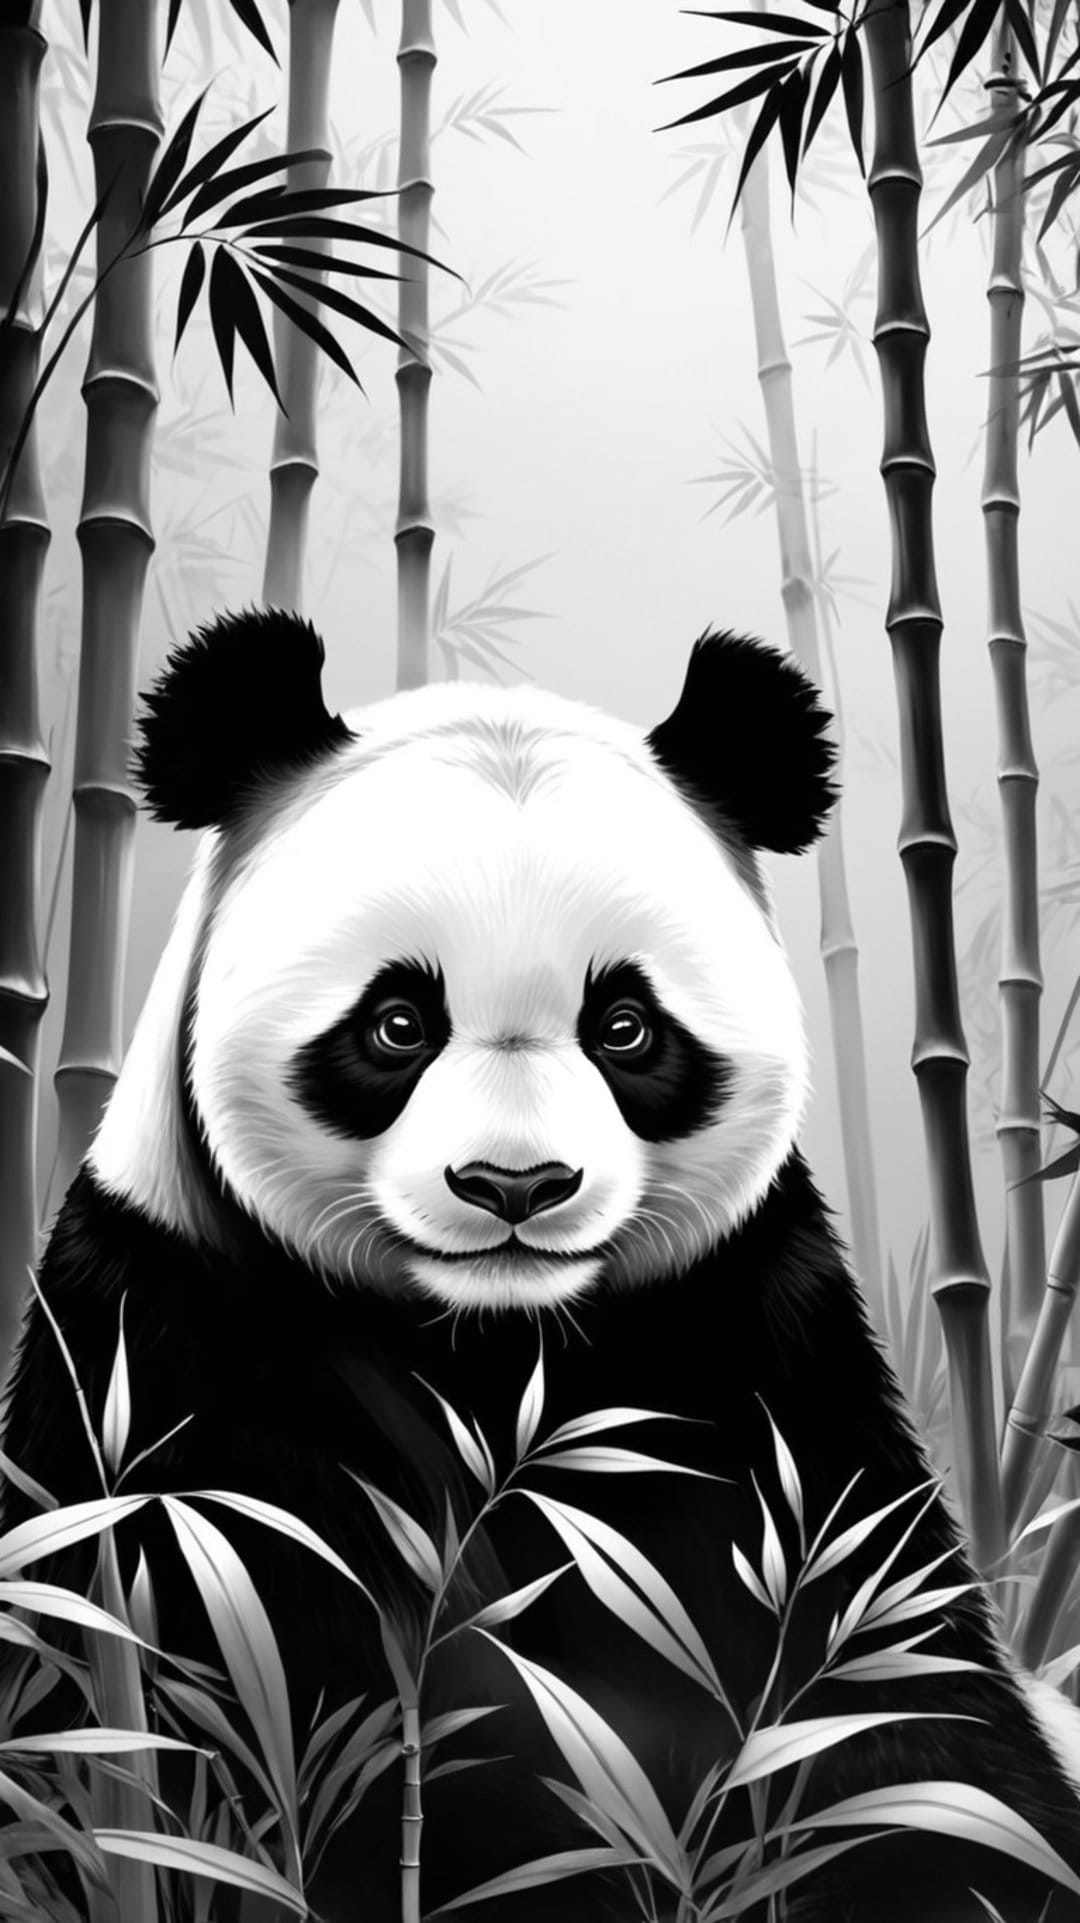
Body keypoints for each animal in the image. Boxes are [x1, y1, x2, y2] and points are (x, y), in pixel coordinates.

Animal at [5, 609, 1080, 1923]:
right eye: (397, 1023)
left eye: (624, 1026)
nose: (514, 1185)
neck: (492, 1346)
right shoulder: (167, 1356)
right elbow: (253, 1693)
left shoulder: (761, 1348)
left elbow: (890, 1686)